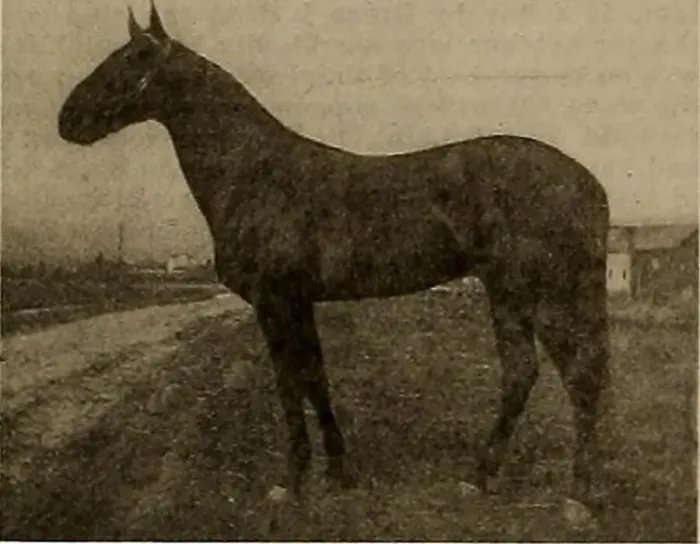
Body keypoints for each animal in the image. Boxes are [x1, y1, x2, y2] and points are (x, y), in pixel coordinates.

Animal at [58, 2, 611, 513]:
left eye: (135, 58)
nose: (68, 120)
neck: (255, 172)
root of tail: (587, 182)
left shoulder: (275, 300)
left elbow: (288, 384)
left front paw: (293, 482)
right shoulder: (299, 301)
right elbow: (314, 379)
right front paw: (337, 471)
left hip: (537, 293)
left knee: (570, 375)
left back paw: (573, 496)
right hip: (517, 293)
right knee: (538, 373)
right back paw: (490, 479)